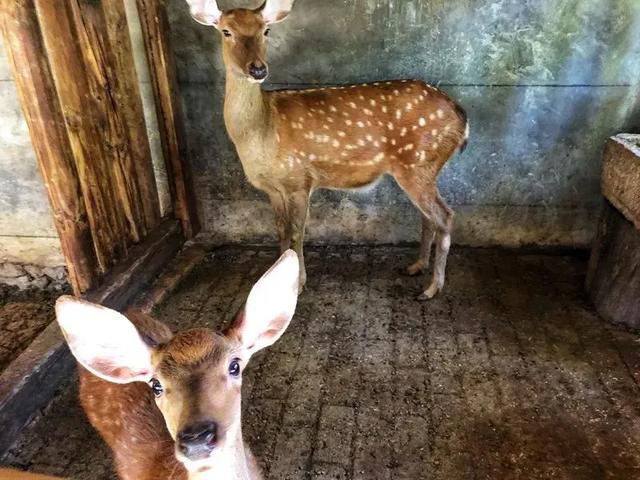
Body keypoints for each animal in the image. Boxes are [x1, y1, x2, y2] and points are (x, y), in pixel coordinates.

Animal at [185, 0, 470, 300]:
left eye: (266, 30)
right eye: (226, 31)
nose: (258, 70)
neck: (262, 132)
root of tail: (461, 116)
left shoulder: (299, 178)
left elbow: (297, 233)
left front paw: (298, 284)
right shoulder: (273, 188)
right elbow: (281, 232)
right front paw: (276, 276)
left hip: (417, 163)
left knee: (445, 216)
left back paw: (431, 288)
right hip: (424, 168)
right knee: (429, 217)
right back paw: (415, 267)